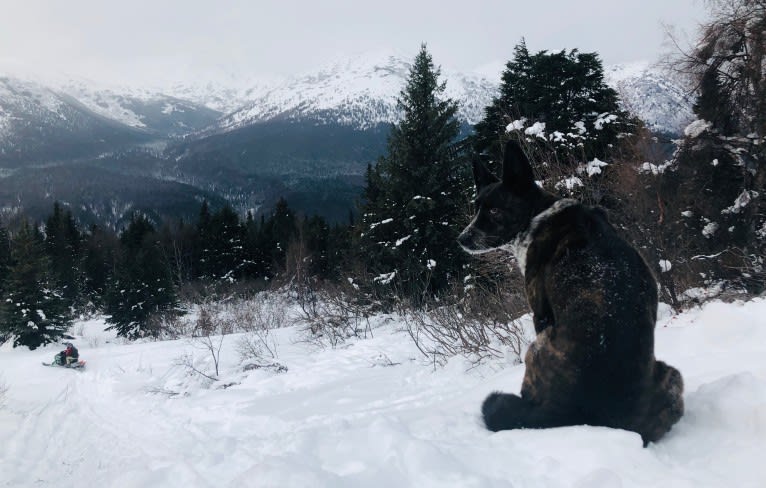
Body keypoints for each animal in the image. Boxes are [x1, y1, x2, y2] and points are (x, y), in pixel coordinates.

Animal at [460, 139, 688, 444]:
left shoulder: (540, 312)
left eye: (495, 211)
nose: (462, 239)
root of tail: (576, 413)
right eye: (476, 208)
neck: (537, 214)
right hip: (673, 376)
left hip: (538, 345)